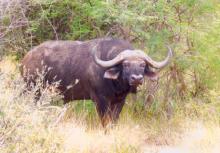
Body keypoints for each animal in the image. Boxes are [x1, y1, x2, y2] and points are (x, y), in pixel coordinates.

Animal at [20, 37, 172, 126]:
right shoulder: (100, 100)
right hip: (32, 91)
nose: (137, 78)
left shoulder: (119, 101)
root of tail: (26, 59)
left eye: (142, 64)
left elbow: (114, 121)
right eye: (126, 64)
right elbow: (105, 122)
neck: (115, 85)